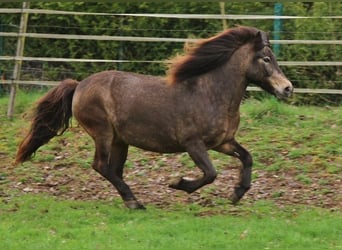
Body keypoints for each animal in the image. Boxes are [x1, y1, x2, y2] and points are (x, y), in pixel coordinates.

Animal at [16, 26, 292, 209]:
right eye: (266, 59)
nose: (288, 88)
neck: (210, 94)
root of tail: (80, 85)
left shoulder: (222, 142)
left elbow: (247, 158)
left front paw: (236, 194)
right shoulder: (193, 144)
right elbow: (210, 173)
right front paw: (178, 183)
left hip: (120, 141)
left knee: (113, 169)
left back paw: (131, 200)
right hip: (102, 133)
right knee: (101, 166)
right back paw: (134, 202)